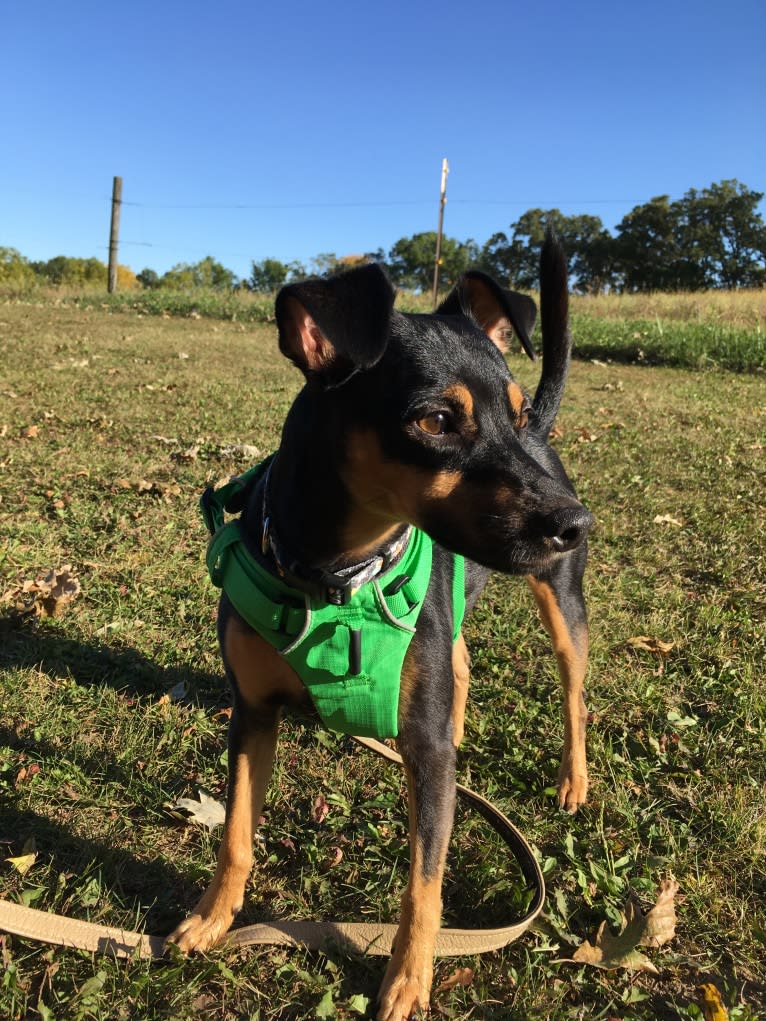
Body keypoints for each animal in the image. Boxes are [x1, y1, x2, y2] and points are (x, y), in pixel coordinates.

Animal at [170, 234, 596, 1016]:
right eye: (435, 421)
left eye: (516, 413)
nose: (574, 523)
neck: (336, 576)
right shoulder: (252, 712)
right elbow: (237, 832)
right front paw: (212, 918)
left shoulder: (423, 754)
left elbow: (424, 884)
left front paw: (408, 978)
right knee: (460, 660)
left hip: (562, 604)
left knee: (573, 691)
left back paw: (573, 780)